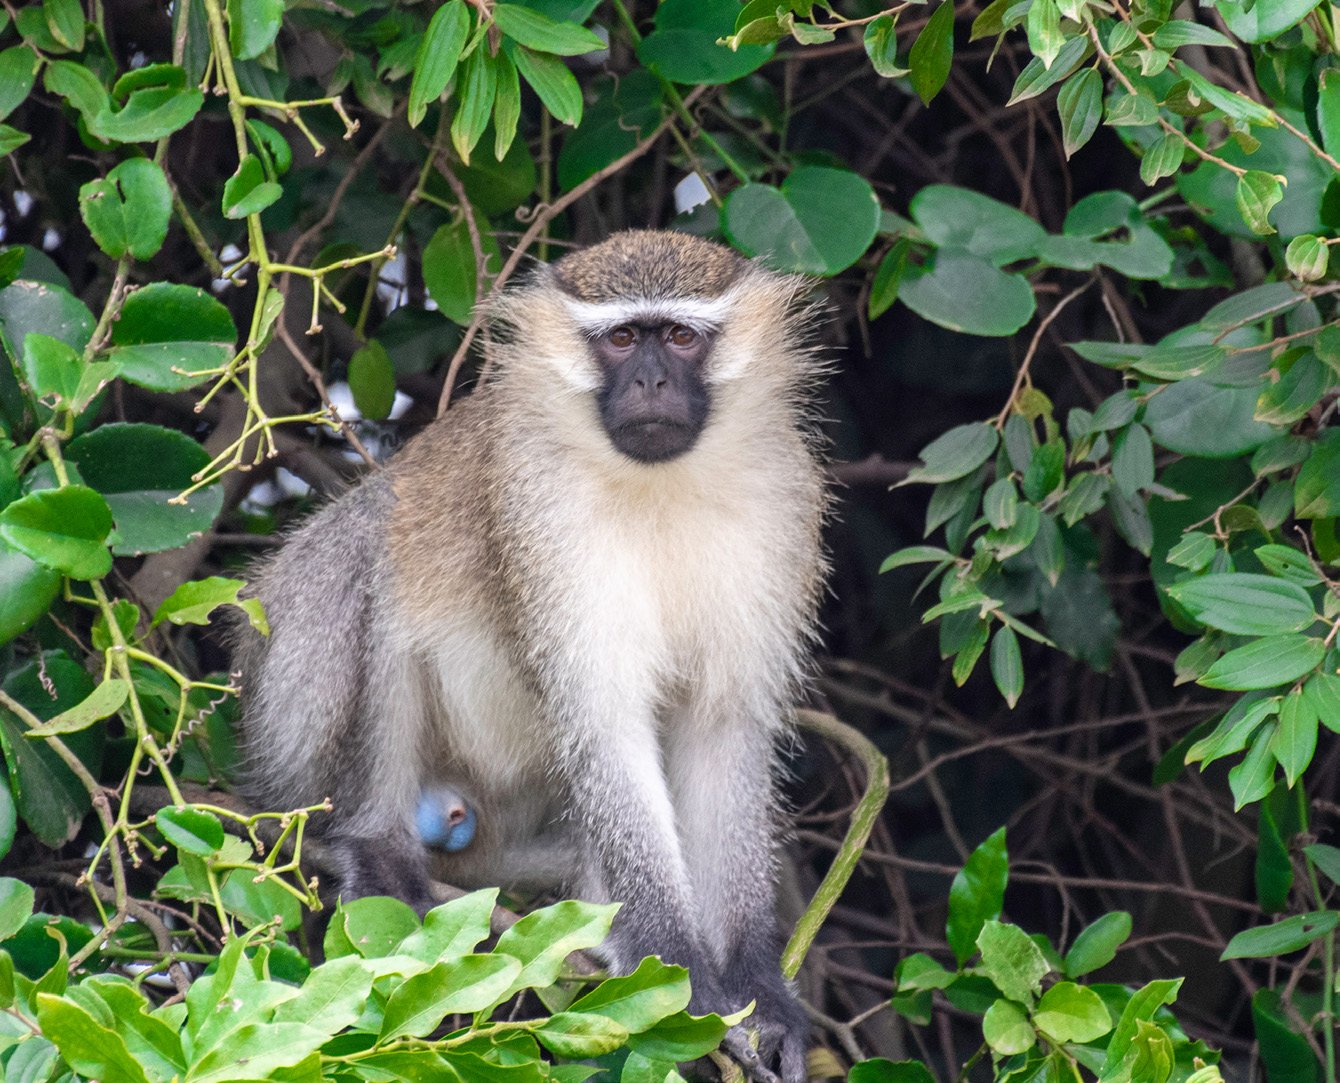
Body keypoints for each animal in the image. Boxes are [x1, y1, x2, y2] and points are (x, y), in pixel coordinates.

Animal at [234, 230, 829, 1083]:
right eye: (623, 338)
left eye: (681, 337)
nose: (651, 380)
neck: (662, 485)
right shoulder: (540, 509)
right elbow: (603, 726)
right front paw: (679, 974)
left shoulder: (781, 504)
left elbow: (724, 730)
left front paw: (758, 987)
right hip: (289, 720)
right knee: (377, 547)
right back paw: (377, 846)